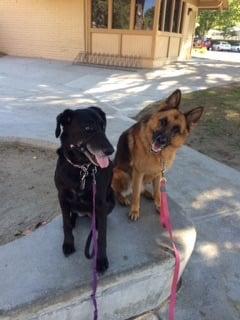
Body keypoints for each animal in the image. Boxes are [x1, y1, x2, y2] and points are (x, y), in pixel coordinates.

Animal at [54, 107, 114, 272]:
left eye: (103, 126)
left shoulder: (100, 202)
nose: (111, 150)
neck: (81, 169)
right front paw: (68, 244)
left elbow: (102, 237)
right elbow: (66, 224)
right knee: (72, 214)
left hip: (110, 200)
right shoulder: (62, 196)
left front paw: (101, 260)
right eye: (88, 128)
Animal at [111, 89, 203, 221]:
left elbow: (158, 193)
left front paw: (160, 206)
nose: (161, 140)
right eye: (163, 121)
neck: (156, 155)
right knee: (120, 191)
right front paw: (135, 211)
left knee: (141, 189)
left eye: (176, 130)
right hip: (121, 174)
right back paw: (122, 199)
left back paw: (147, 194)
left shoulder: (159, 173)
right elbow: (135, 196)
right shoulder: (138, 172)